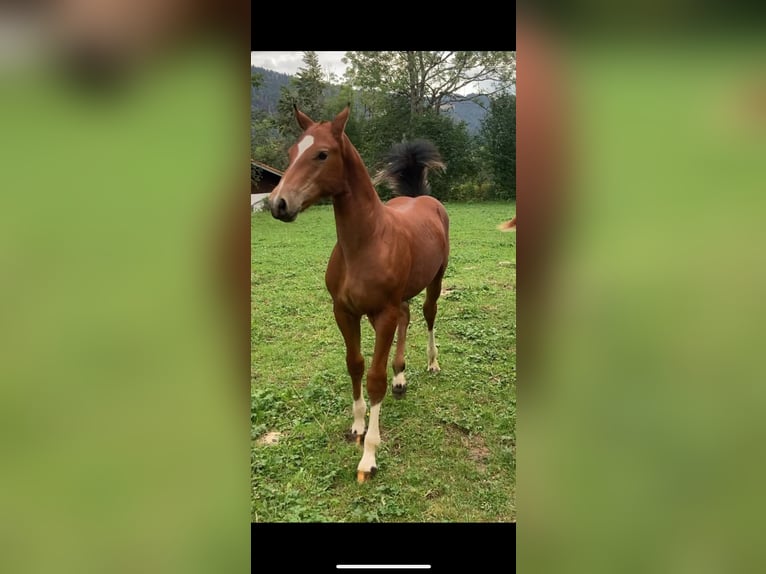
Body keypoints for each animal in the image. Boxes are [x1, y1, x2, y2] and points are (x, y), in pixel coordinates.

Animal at [270, 106, 450, 484]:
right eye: (292, 153)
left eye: (322, 154)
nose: (278, 203)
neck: (366, 243)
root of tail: (422, 199)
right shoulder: (344, 311)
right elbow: (355, 365)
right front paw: (356, 426)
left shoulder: (382, 314)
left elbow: (375, 379)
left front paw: (369, 456)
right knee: (407, 317)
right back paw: (401, 378)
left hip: (435, 279)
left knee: (428, 314)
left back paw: (431, 363)